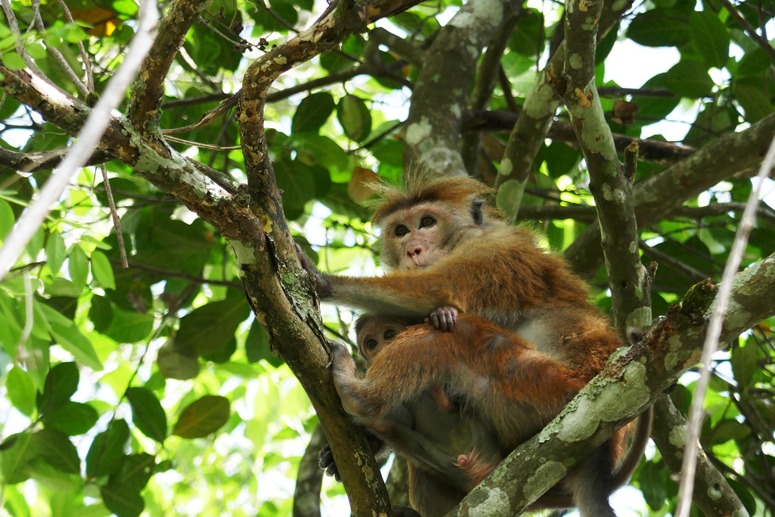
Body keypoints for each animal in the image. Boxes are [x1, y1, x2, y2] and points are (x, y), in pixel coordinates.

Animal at [300, 175, 652, 512]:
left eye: (427, 222)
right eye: (401, 230)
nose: (413, 250)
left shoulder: (491, 248)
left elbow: (437, 286)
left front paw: (321, 279)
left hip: (547, 388)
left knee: (458, 337)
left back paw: (360, 396)